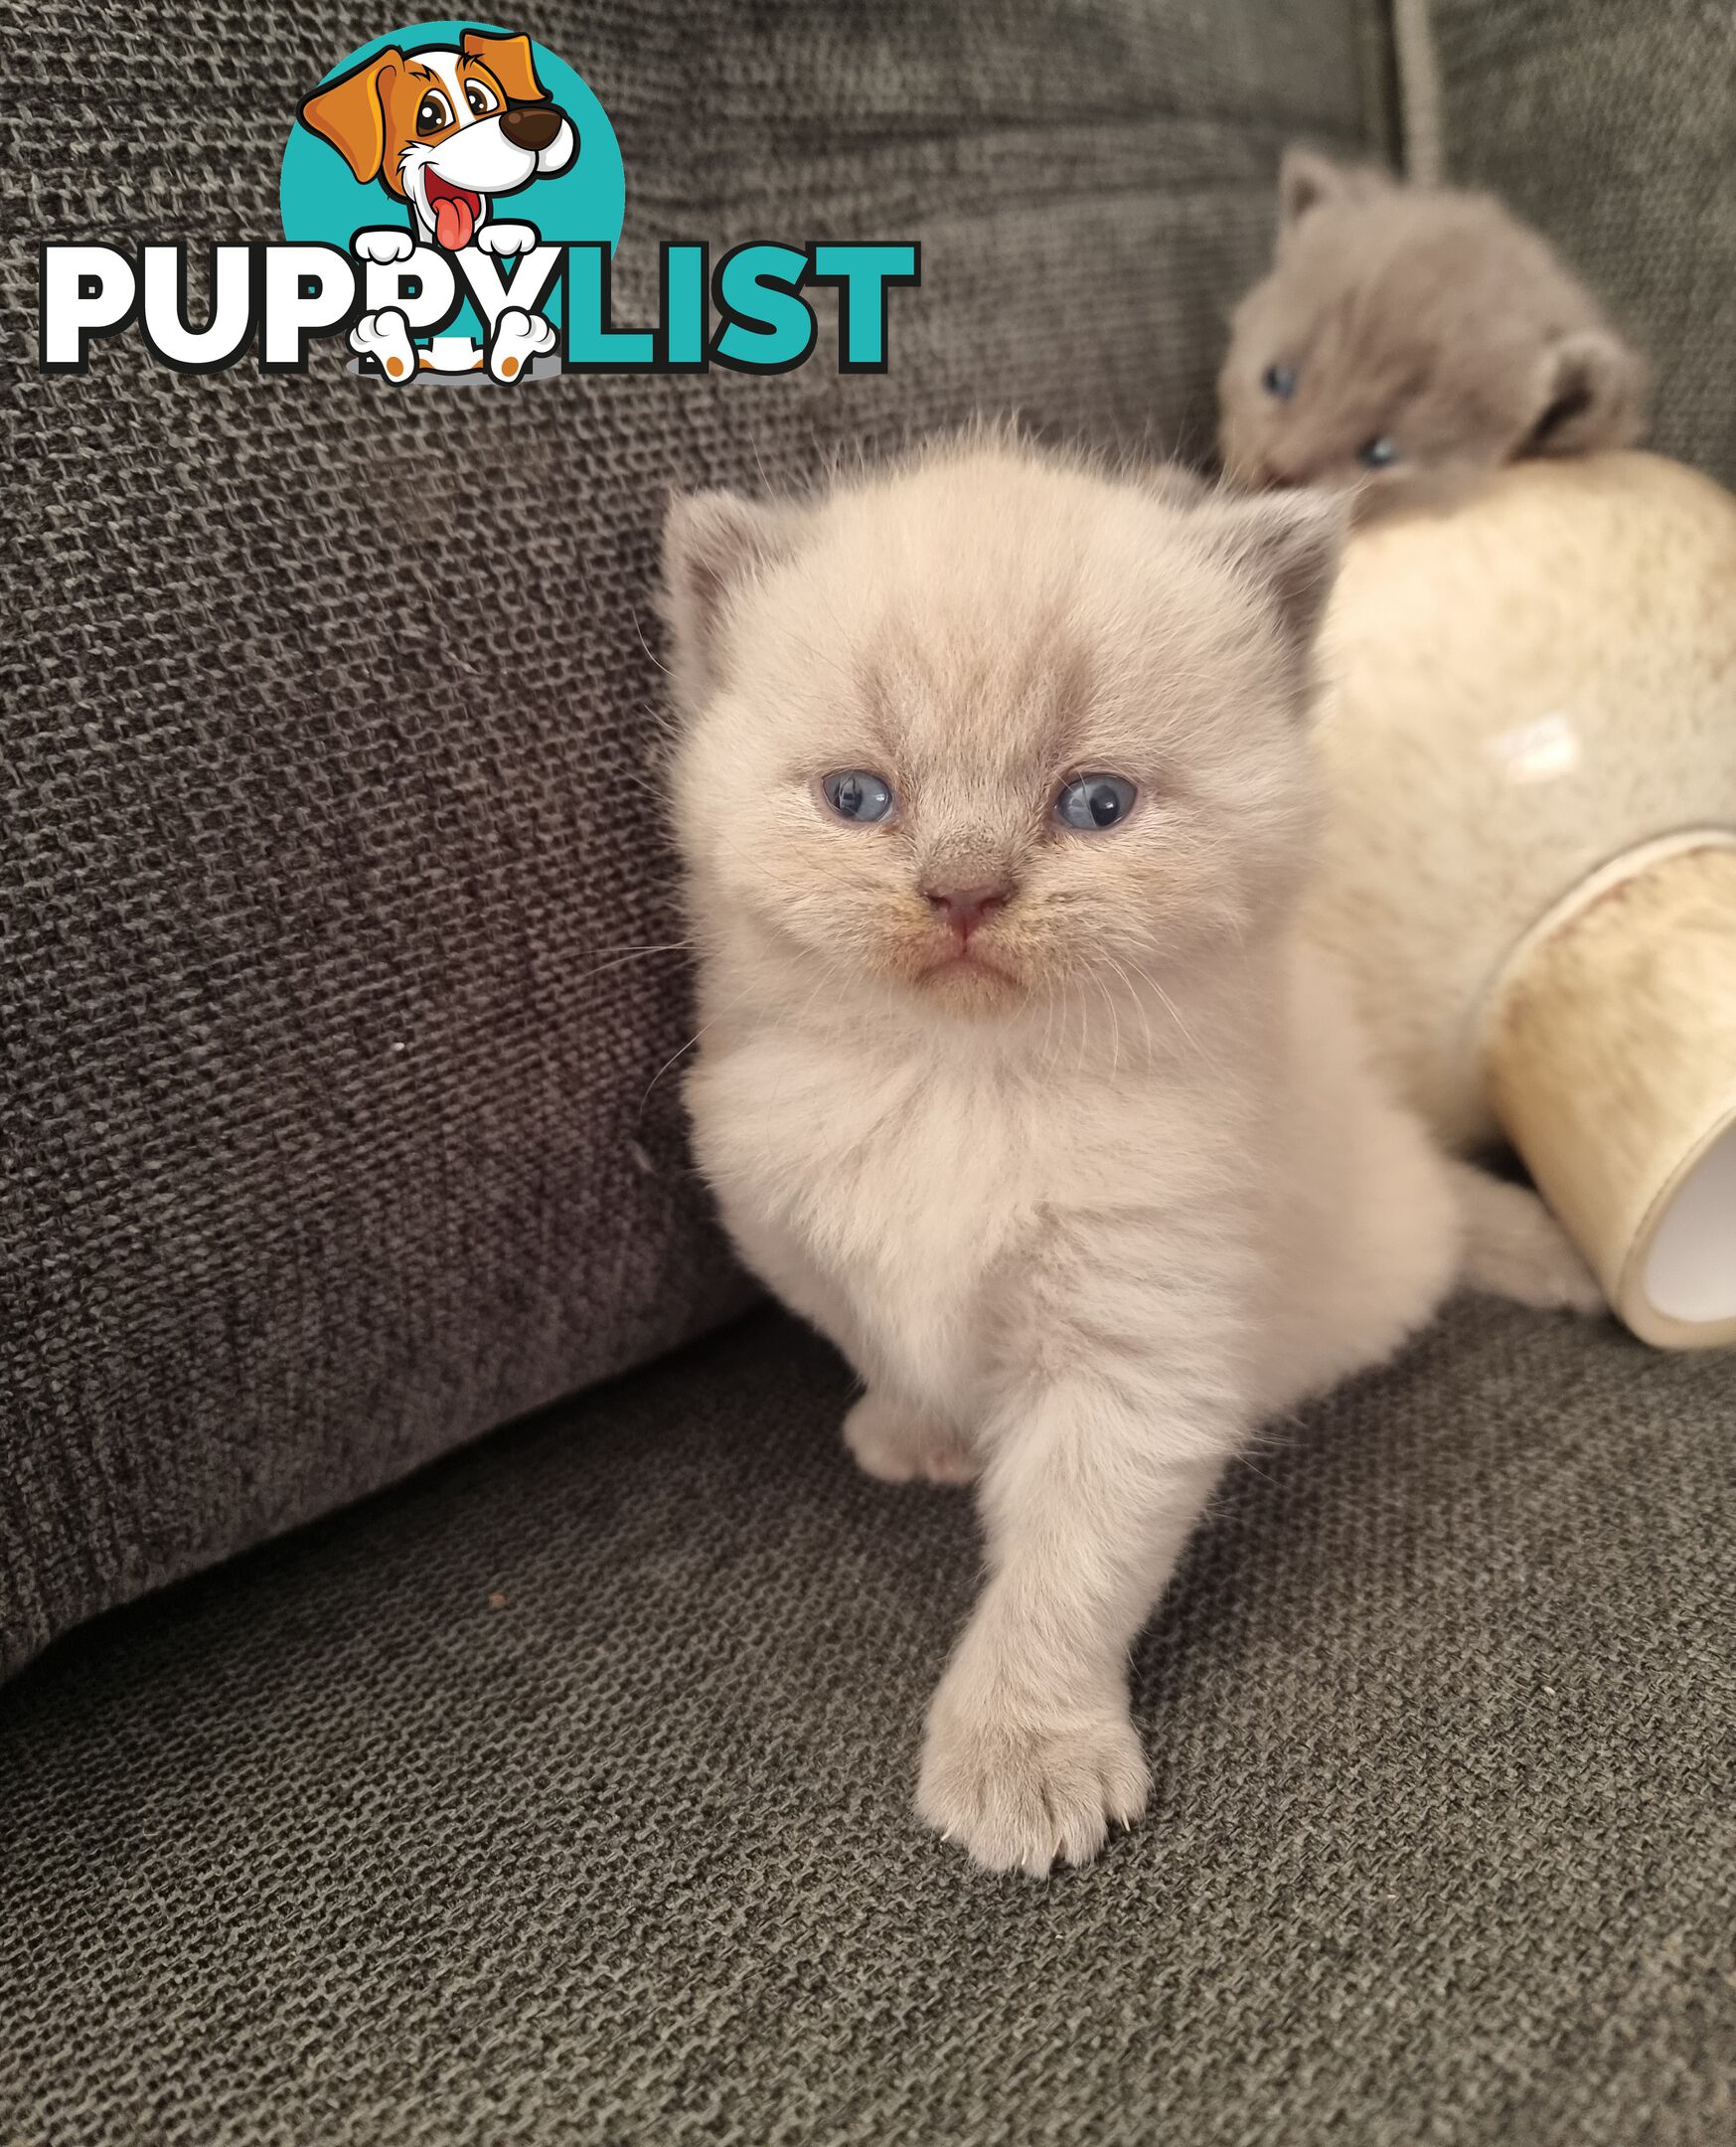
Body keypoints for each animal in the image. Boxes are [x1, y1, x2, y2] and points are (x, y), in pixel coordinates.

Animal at [656, 435, 1587, 1881]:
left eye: (1095, 804)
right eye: (858, 798)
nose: (964, 890)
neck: (961, 1088)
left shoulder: (1135, 1353)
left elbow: (1062, 1574)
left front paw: (1022, 1762)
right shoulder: (794, 1236)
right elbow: (880, 1341)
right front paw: (918, 1433)